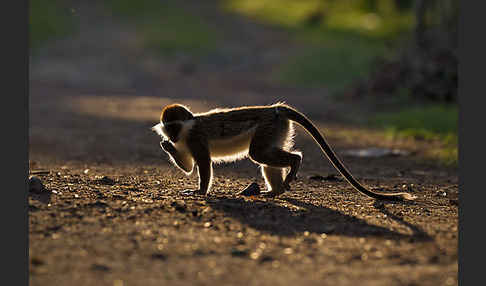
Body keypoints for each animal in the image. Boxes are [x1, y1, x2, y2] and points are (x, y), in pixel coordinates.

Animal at [153, 103, 418, 201]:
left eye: (175, 126)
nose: (171, 137)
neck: (187, 129)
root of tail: (275, 109)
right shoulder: (186, 142)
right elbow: (189, 167)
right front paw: (166, 146)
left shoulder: (195, 138)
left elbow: (204, 164)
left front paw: (199, 192)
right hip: (277, 130)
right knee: (264, 157)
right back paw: (275, 191)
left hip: (268, 127)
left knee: (259, 153)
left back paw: (294, 164)